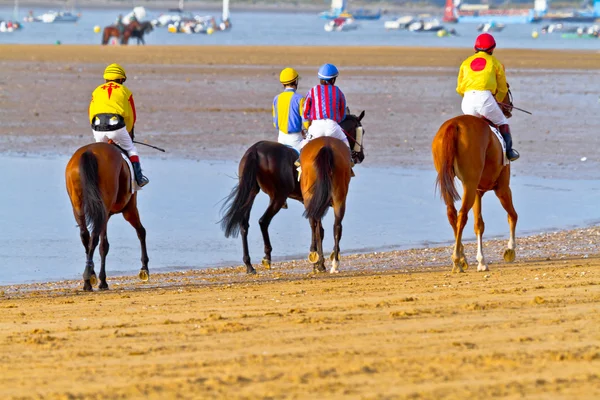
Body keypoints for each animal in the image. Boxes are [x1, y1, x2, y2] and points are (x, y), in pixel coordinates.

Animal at [64, 143, 150, 290]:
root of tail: (89, 152)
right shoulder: (129, 209)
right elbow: (140, 232)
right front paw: (144, 269)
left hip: (78, 207)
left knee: (85, 236)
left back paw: (88, 279)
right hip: (105, 210)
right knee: (96, 238)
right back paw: (90, 277)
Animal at [218, 111, 364, 276]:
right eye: (362, 131)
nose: (361, 155)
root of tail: (255, 149)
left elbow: (318, 228)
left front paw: (318, 261)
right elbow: (320, 230)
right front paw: (320, 263)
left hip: (251, 192)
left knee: (244, 224)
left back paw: (249, 265)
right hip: (279, 196)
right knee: (263, 221)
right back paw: (267, 257)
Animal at [432, 90, 516, 274]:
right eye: (507, 88)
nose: (510, 108)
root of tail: (455, 124)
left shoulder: (478, 191)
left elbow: (479, 224)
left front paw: (481, 261)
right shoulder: (502, 188)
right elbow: (512, 215)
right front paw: (510, 250)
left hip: (452, 183)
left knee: (452, 213)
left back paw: (462, 257)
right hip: (469, 185)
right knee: (462, 215)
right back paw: (457, 259)